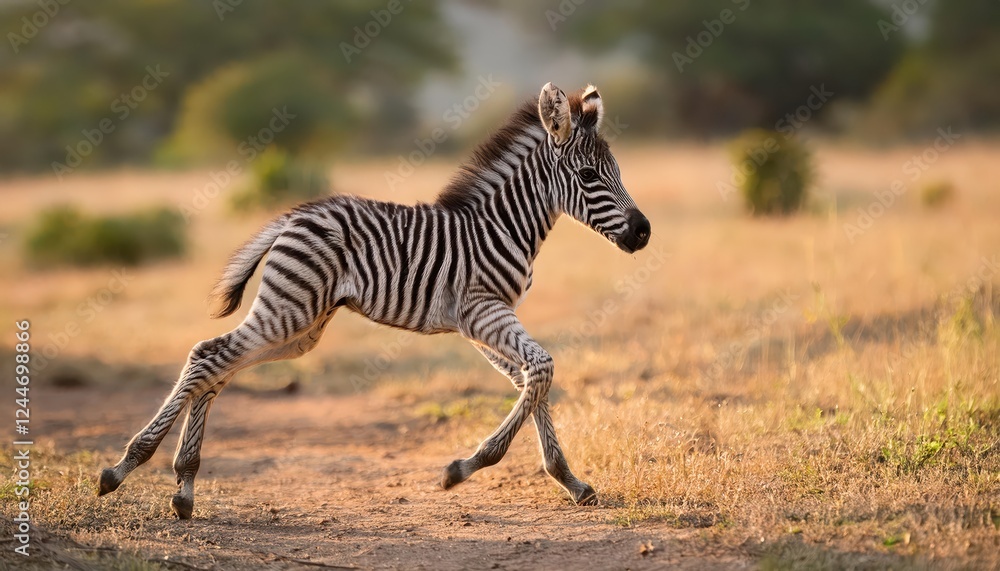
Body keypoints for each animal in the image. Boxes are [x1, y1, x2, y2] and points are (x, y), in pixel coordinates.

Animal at [98, 82, 651, 519]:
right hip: (290, 310)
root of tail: (294, 215)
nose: (643, 233)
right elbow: (541, 370)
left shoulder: (482, 321)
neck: (501, 226)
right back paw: (125, 468)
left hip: (302, 326)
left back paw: (184, 486)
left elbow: (530, 380)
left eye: (618, 171)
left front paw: (569, 480)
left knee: (218, 365)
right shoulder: (482, 310)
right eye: (589, 176)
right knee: (208, 356)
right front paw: (463, 468)